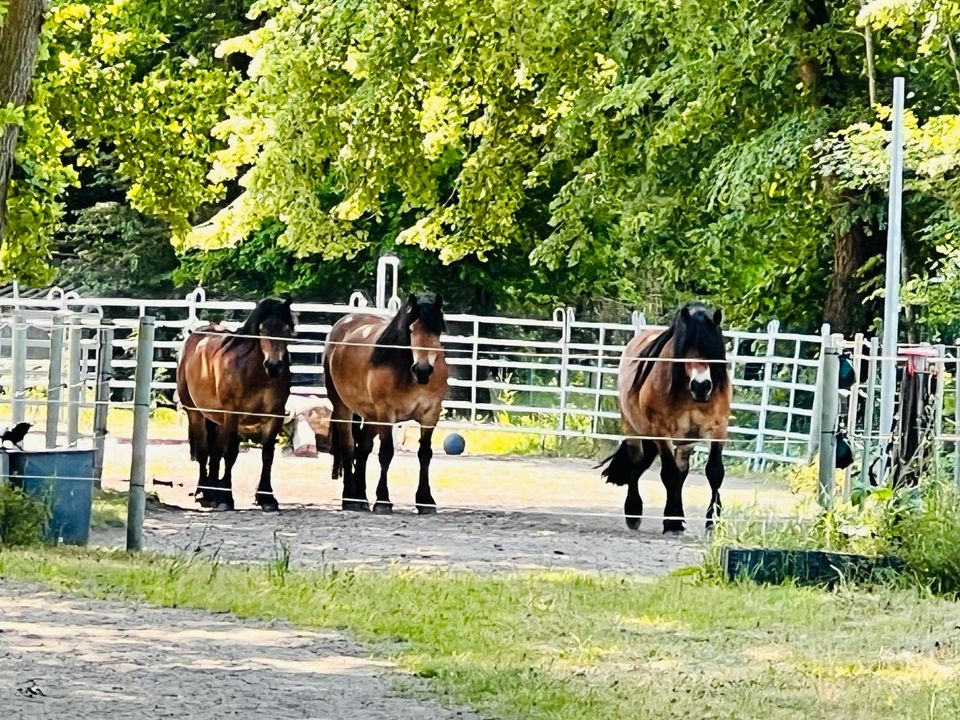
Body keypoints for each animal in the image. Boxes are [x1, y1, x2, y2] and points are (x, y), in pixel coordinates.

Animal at [176, 298, 294, 512]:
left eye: (287, 329)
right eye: (261, 329)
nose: (273, 366)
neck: (256, 374)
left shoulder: (274, 416)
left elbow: (267, 455)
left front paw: (267, 498)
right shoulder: (233, 414)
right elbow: (230, 453)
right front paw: (226, 499)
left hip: (218, 419)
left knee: (214, 454)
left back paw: (213, 492)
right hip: (196, 413)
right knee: (204, 453)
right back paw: (204, 493)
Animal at [324, 290, 448, 516]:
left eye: (437, 330)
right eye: (411, 329)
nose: (423, 370)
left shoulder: (431, 415)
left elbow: (425, 454)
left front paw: (425, 501)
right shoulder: (386, 414)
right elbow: (386, 453)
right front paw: (383, 500)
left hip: (370, 416)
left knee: (362, 449)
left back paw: (361, 498)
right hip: (344, 408)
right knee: (349, 448)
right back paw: (351, 499)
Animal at [600, 300, 728, 532]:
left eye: (713, 349)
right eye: (686, 348)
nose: (701, 386)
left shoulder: (718, 428)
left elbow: (714, 472)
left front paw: (713, 520)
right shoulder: (660, 431)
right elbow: (669, 474)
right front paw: (672, 522)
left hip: (685, 439)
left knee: (680, 471)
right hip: (633, 429)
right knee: (637, 463)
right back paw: (634, 511)